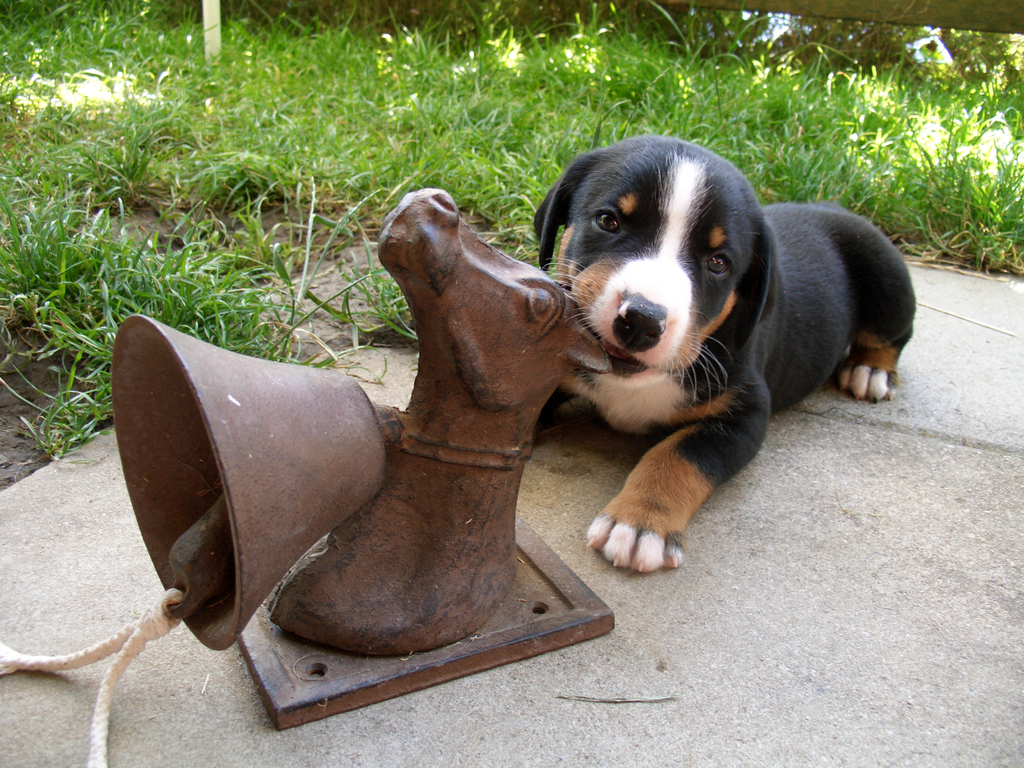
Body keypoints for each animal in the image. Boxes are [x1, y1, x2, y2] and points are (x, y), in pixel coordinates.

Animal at [534, 135, 916, 573]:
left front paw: (639, 523)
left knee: (895, 333)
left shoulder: (743, 414)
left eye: (718, 262)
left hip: (886, 276)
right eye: (608, 221)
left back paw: (870, 371)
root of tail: (835, 208)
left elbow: (678, 455)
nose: (643, 320)